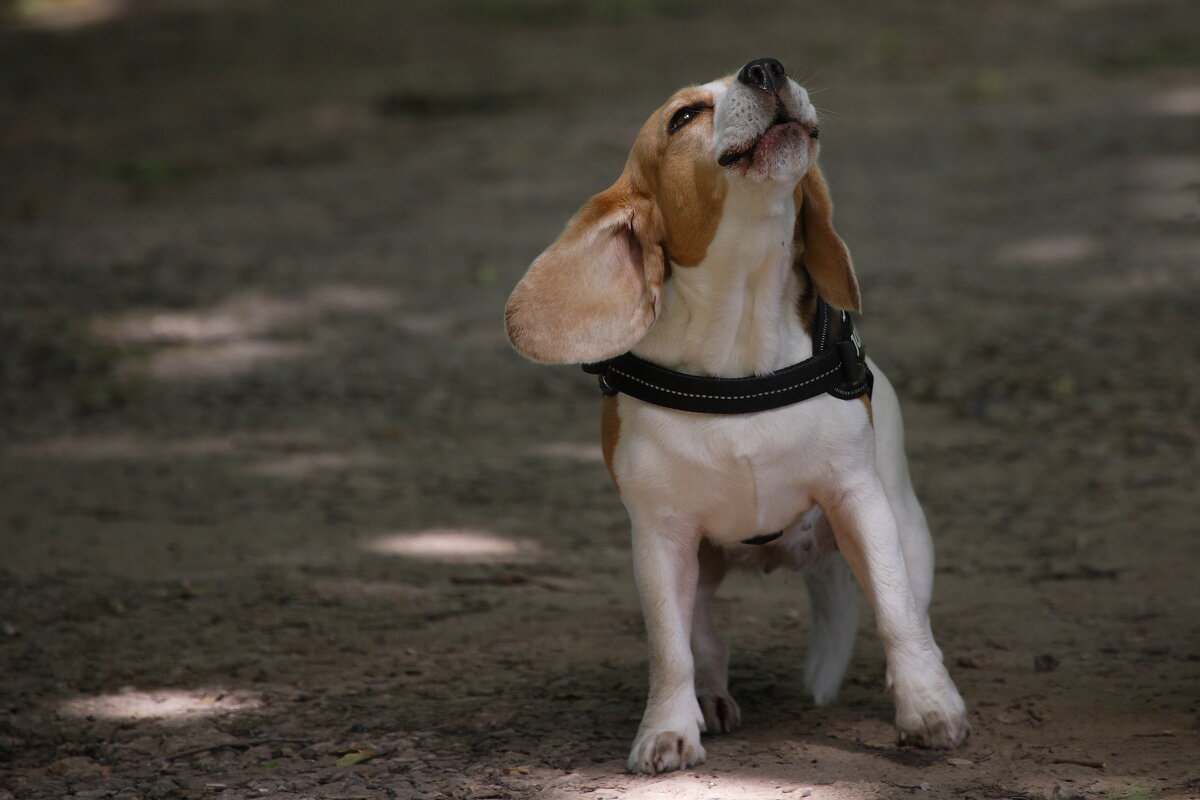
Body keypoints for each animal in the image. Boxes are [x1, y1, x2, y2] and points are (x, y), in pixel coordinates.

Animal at [501, 57, 969, 777]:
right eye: (684, 117)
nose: (766, 67)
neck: (741, 329)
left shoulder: (859, 500)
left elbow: (896, 614)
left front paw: (928, 707)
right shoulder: (660, 538)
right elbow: (670, 650)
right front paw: (667, 730)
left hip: (907, 527)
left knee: (913, 609)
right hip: (694, 566)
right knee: (704, 645)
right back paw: (711, 701)